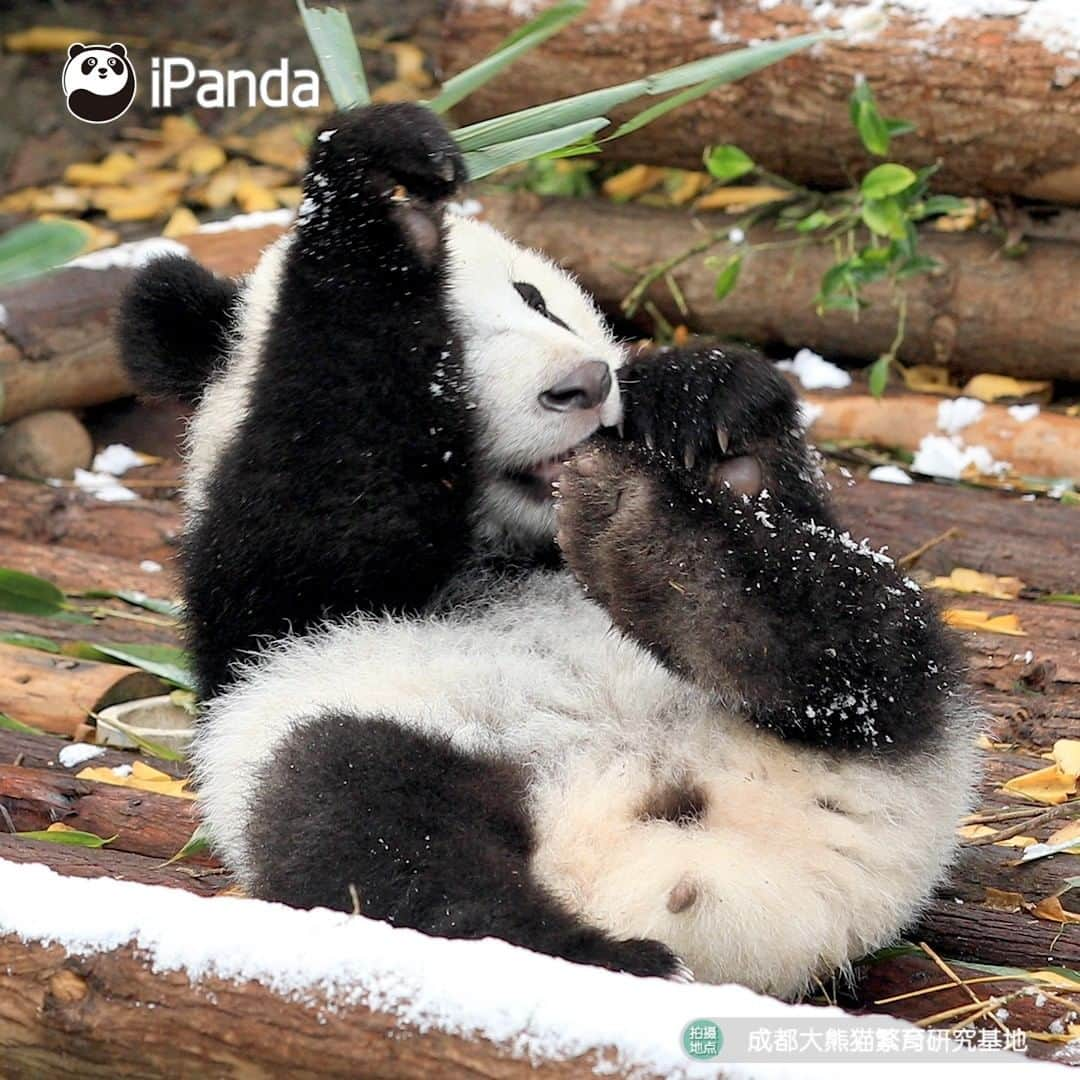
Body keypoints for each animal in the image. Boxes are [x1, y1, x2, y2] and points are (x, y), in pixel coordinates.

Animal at [118, 103, 980, 993]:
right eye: (450, 345)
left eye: (538, 300)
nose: (583, 385)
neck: (519, 546)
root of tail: (725, 895)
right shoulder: (257, 597)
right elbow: (325, 501)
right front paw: (379, 193)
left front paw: (702, 404)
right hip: (353, 718)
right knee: (361, 813)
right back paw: (595, 950)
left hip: (884, 710)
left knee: (852, 629)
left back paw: (666, 553)